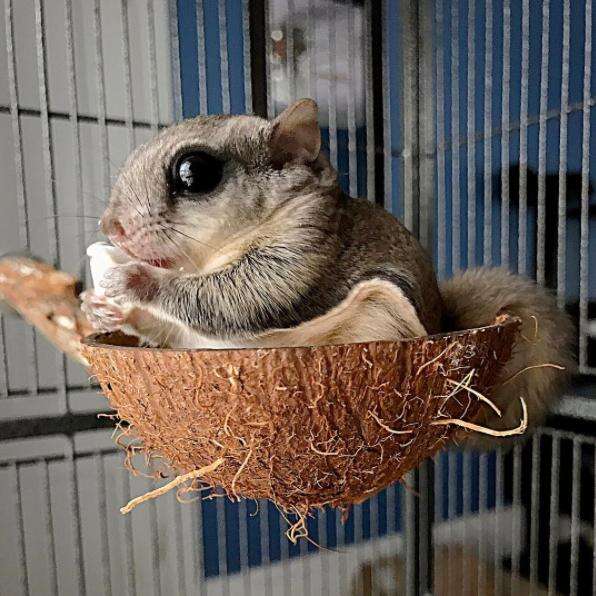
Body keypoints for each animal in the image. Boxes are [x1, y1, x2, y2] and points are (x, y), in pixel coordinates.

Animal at [81, 96, 576, 434]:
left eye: (194, 172)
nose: (111, 227)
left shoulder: (304, 253)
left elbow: (238, 298)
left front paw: (134, 279)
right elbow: (174, 328)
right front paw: (100, 307)